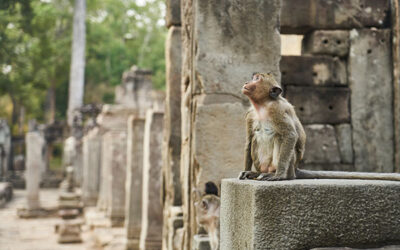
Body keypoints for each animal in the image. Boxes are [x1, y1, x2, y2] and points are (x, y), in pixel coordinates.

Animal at [239, 73, 400, 182]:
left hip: (288, 164)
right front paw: (246, 171)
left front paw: (279, 175)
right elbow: (249, 140)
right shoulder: (250, 114)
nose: (246, 82)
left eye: (257, 79)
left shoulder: (277, 110)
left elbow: (290, 136)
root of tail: (295, 169)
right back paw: (256, 173)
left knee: (280, 138)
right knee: (255, 140)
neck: (263, 105)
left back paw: (279, 174)